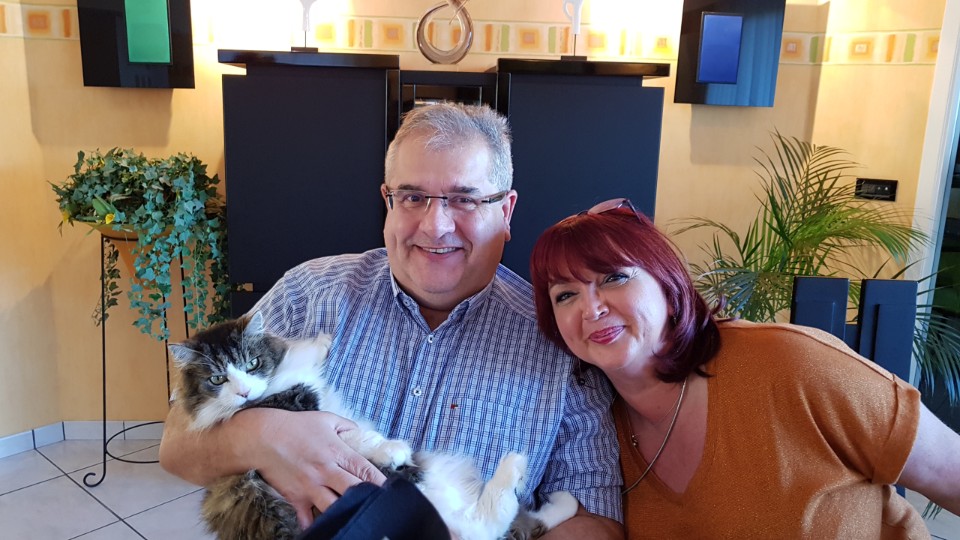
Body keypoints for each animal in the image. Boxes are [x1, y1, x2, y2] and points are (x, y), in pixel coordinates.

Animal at [169, 311, 579, 540]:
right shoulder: (304, 413)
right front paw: (392, 447)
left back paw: (563, 498)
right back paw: (515, 465)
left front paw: (323, 340)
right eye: (217, 379)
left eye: (251, 363)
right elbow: (357, 435)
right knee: (490, 519)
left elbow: (305, 351)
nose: (242, 392)